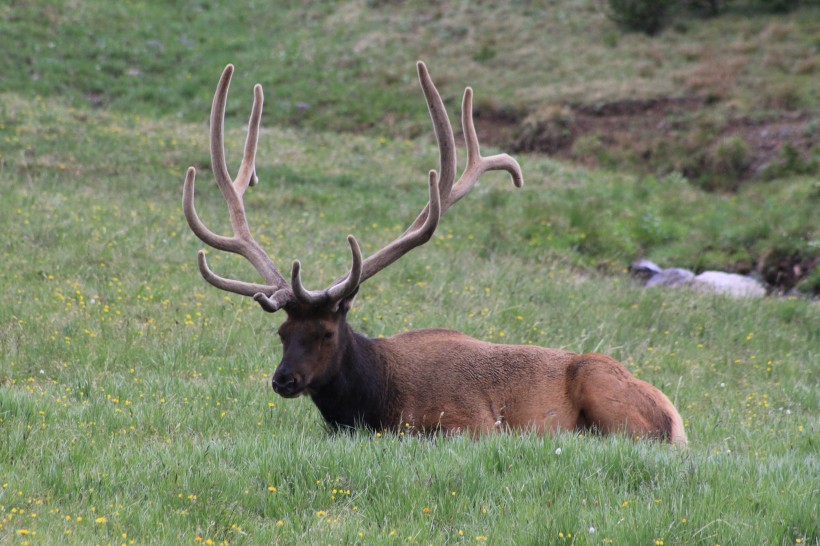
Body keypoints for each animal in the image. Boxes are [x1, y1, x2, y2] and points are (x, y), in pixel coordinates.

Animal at [182, 62, 687, 445]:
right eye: (282, 332)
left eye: (326, 332)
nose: (282, 379)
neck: (374, 402)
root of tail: (676, 420)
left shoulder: (473, 422)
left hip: (606, 392)